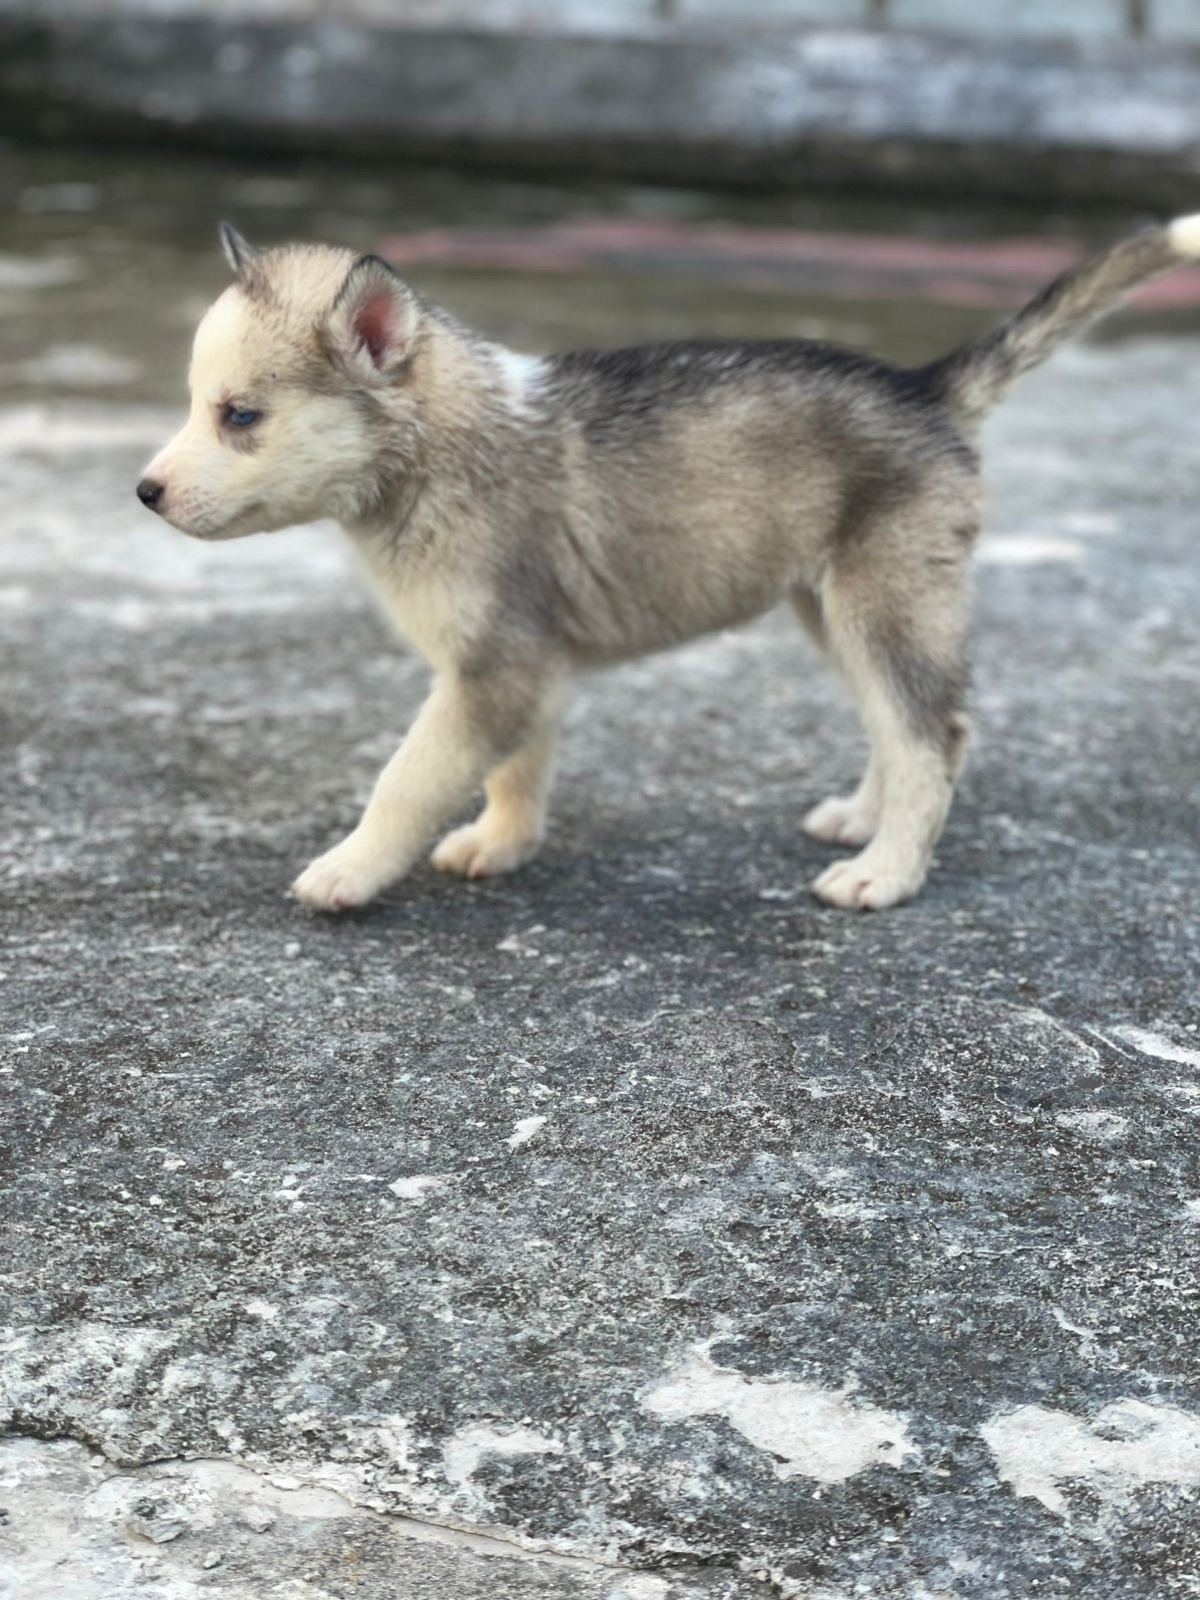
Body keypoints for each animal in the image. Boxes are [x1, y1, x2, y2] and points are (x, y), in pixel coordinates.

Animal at [138, 220, 1200, 915]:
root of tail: (921, 386)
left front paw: (350, 869)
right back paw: (862, 820)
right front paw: (502, 843)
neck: (435, 451)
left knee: (931, 734)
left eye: (240, 416)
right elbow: (515, 768)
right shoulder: (525, 664)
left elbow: (408, 777)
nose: (143, 492)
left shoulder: (494, 667)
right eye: (196, 404)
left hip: (886, 597)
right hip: (832, 605)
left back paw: (888, 873)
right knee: (894, 725)